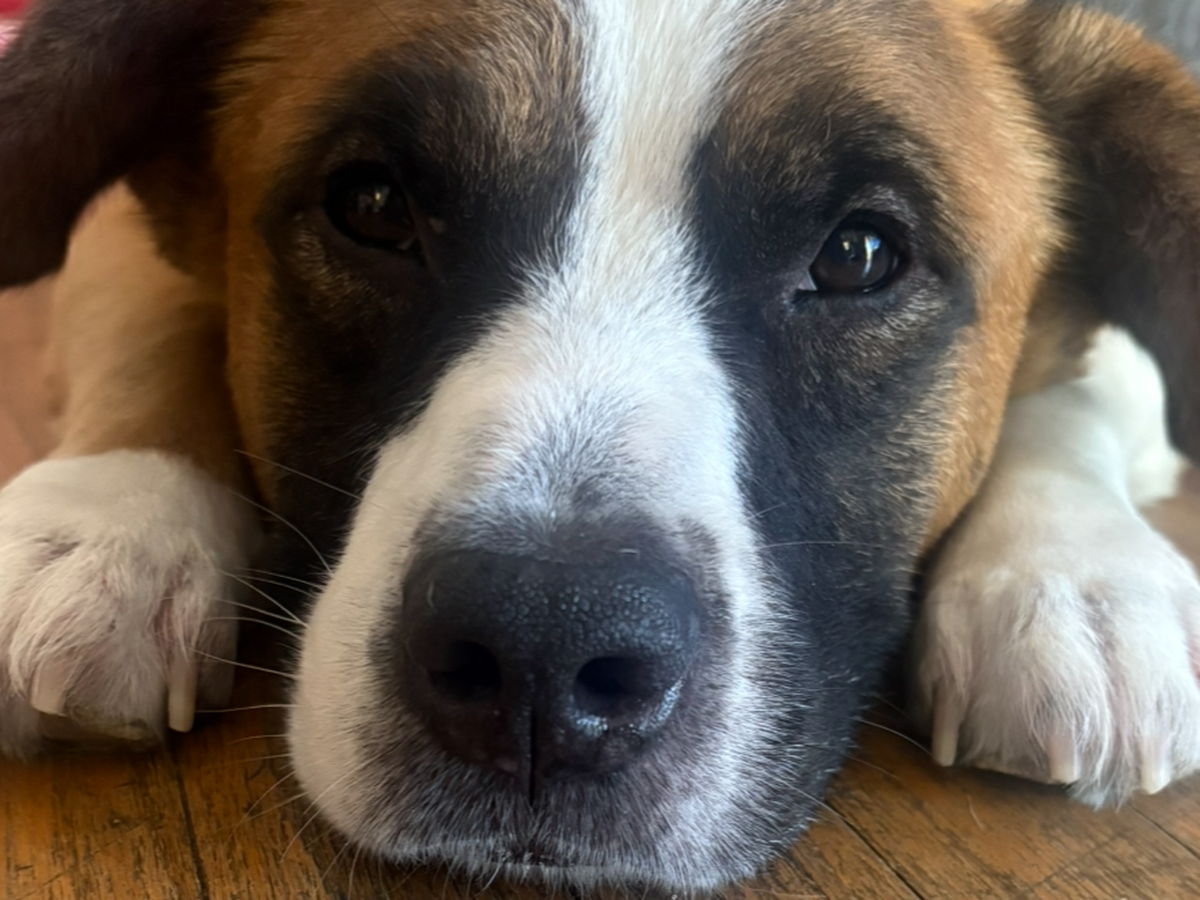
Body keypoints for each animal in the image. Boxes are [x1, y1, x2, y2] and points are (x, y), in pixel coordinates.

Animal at [1, 0, 1199, 891]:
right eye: (373, 204)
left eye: (859, 254)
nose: (542, 650)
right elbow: (158, 317)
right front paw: (113, 515)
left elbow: (1082, 390)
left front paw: (1067, 572)